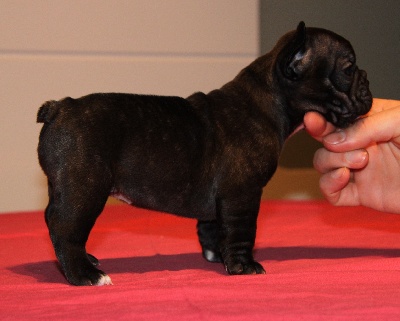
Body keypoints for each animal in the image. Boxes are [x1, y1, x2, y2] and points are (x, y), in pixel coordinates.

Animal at [37, 21, 372, 284]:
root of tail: (59, 107)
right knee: (65, 228)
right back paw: (85, 275)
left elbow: (213, 227)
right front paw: (244, 266)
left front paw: (217, 256)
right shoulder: (242, 195)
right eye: (348, 69)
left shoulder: (219, 201)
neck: (267, 100)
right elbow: (241, 231)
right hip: (85, 187)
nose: (368, 79)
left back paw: (89, 261)